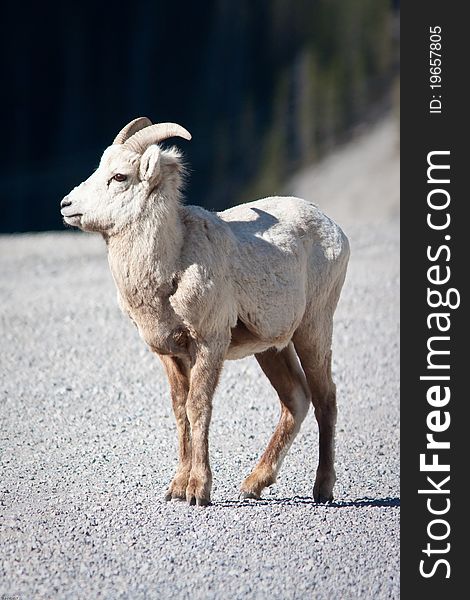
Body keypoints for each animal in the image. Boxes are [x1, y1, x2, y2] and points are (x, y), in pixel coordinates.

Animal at [60, 117, 348, 506]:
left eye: (119, 176)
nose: (66, 204)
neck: (171, 265)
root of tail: (335, 228)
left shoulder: (209, 343)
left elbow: (198, 407)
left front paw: (198, 490)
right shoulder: (168, 352)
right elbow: (180, 409)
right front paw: (176, 488)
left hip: (313, 329)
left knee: (325, 398)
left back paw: (323, 488)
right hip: (272, 347)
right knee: (296, 400)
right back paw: (253, 484)